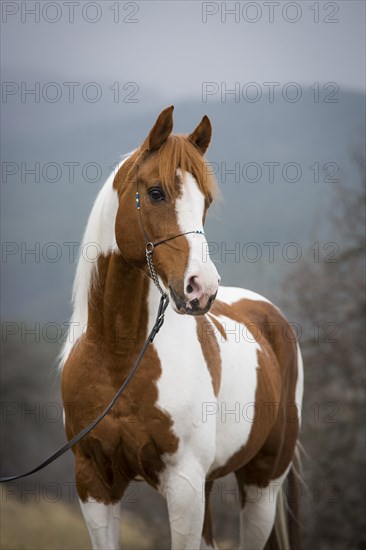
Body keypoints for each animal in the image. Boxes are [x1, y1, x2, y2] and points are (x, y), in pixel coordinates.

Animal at [60, 106, 304, 550]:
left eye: (205, 201)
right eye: (156, 192)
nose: (201, 288)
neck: (117, 358)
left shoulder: (183, 485)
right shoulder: (93, 482)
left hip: (262, 484)